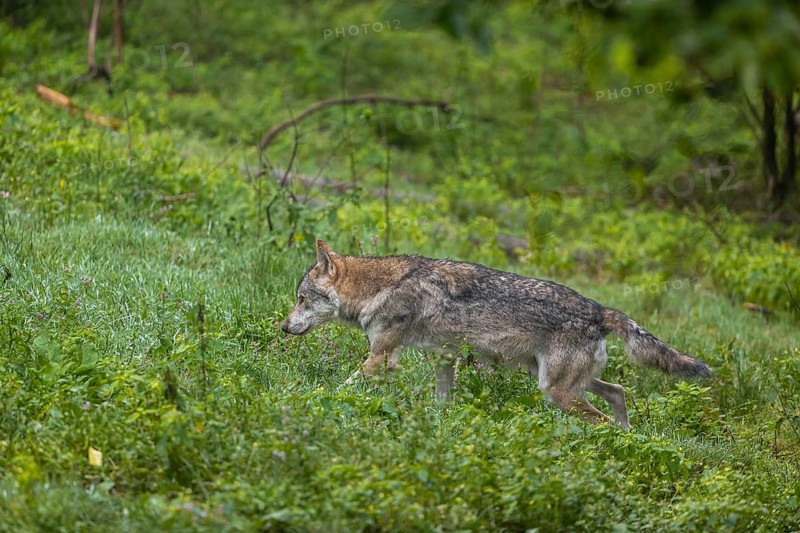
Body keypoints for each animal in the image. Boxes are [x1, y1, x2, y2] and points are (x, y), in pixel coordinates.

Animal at [282, 240, 711, 430]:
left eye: (301, 299)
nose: (283, 327)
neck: (380, 287)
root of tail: (598, 309)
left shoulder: (380, 358)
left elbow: (343, 385)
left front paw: (312, 399)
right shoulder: (444, 358)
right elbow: (442, 401)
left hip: (556, 392)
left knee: (603, 416)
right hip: (562, 383)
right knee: (619, 392)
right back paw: (631, 436)